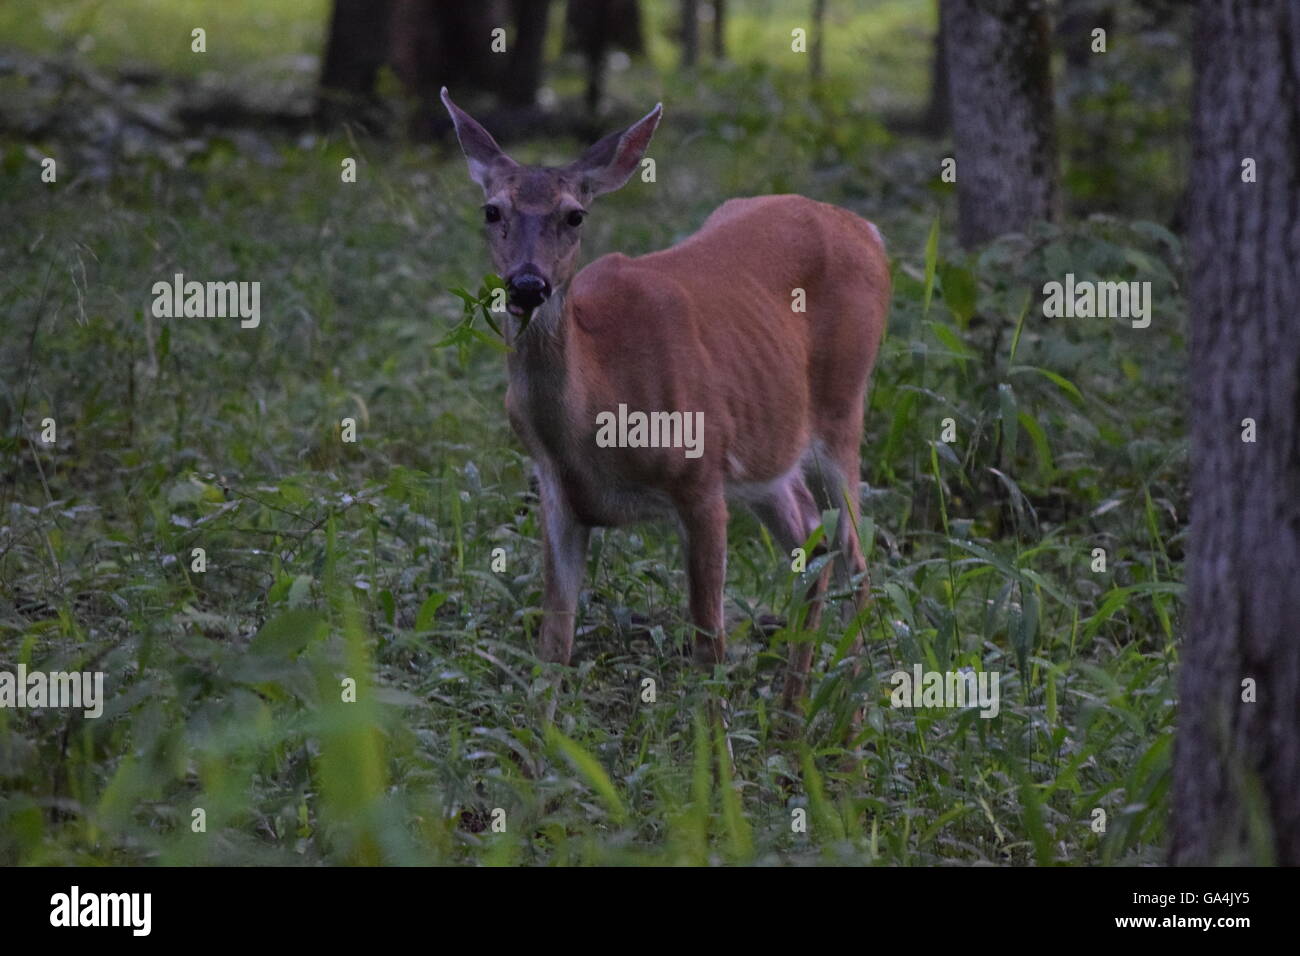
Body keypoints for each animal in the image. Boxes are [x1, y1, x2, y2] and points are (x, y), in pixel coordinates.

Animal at [441, 89, 889, 712]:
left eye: (574, 215)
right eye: (491, 211)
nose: (529, 285)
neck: (596, 417)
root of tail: (868, 230)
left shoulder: (700, 477)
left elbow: (709, 644)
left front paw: (715, 739)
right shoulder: (558, 495)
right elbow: (553, 646)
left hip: (842, 409)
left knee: (855, 557)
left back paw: (847, 714)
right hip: (767, 447)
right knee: (810, 541)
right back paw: (790, 713)